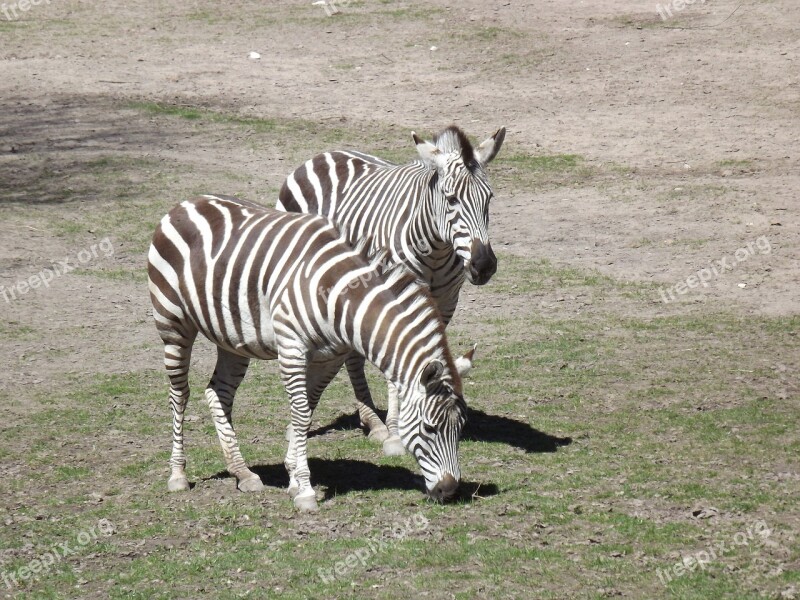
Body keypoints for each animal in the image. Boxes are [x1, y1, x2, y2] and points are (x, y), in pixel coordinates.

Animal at [148, 193, 468, 510]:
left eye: (461, 428)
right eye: (429, 428)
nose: (450, 490)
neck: (339, 295)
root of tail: (186, 203)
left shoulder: (331, 357)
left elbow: (309, 409)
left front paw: (292, 476)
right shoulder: (292, 348)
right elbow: (301, 414)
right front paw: (304, 490)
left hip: (232, 339)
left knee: (219, 394)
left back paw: (242, 473)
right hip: (173, 323)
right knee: (179, 395)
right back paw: (178, 474)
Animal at [278, 125, 504, 454]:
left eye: (488, 198)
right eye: (451, 199)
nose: (484, 264)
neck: (435, 250)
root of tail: (321, 155)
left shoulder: (446, 302)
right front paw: (397, 433)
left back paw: (370, 420)